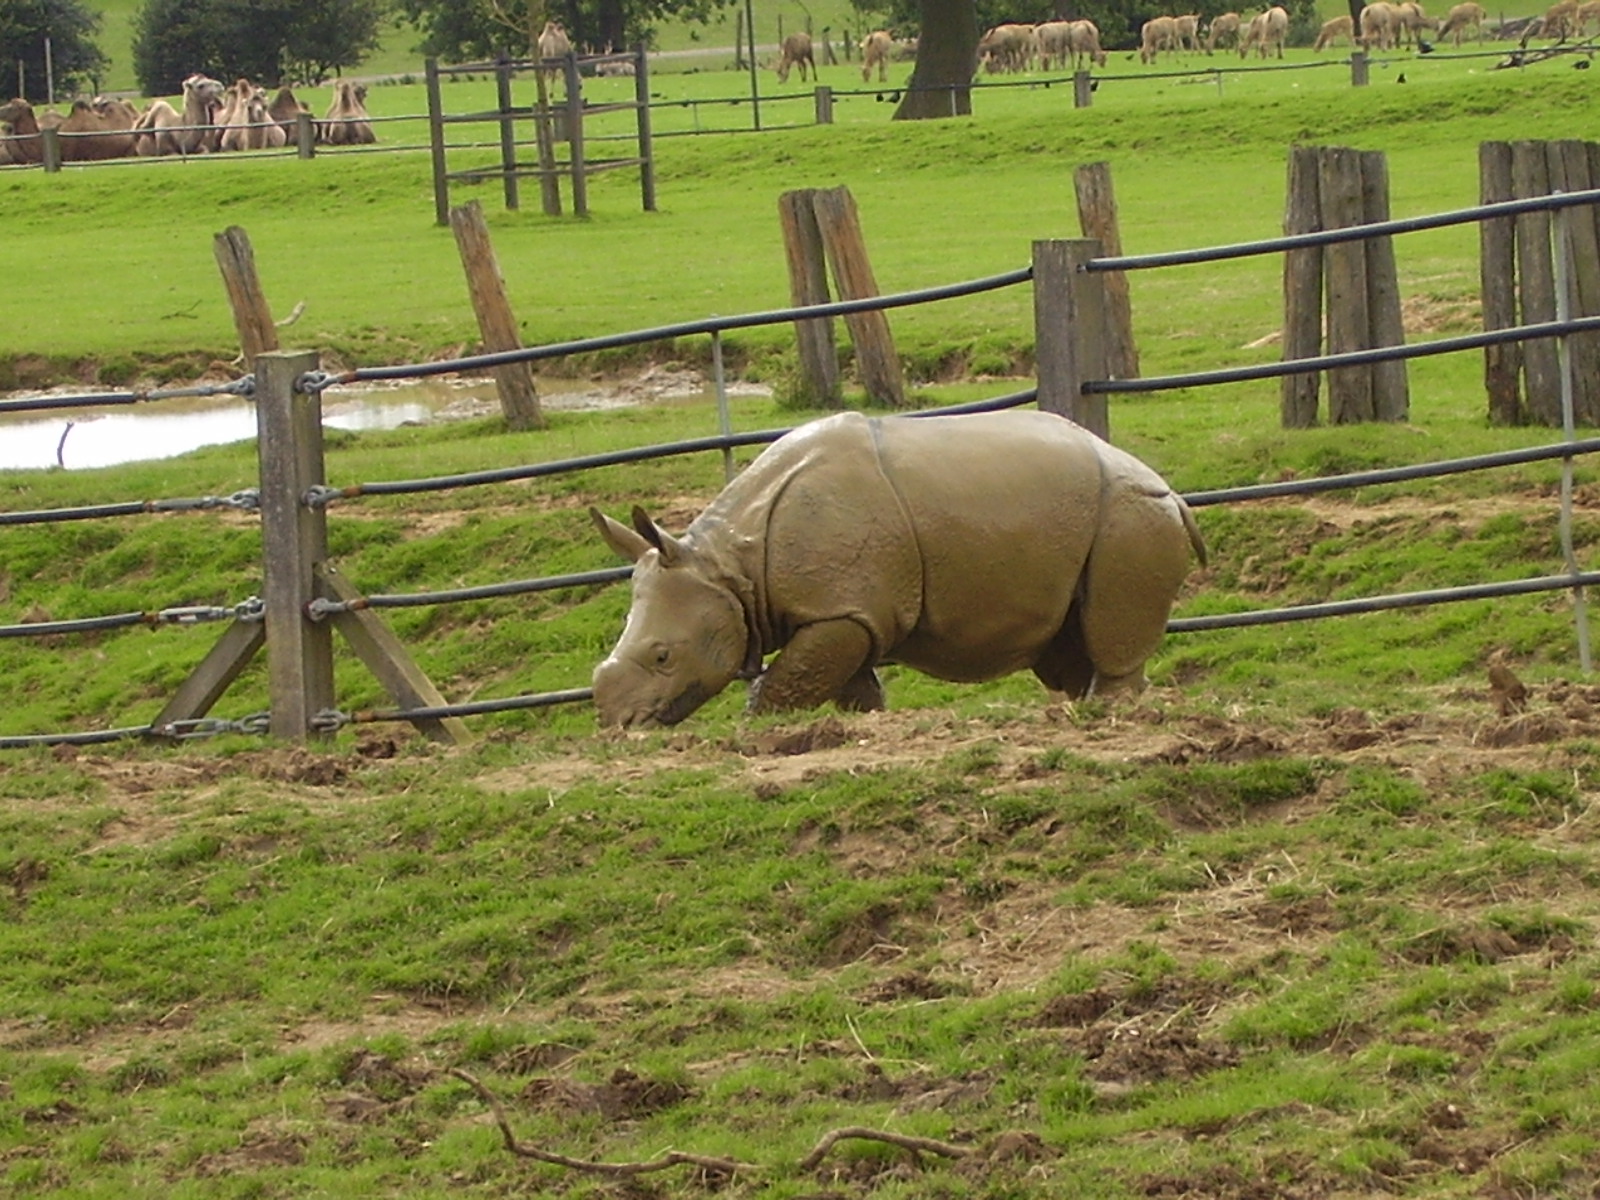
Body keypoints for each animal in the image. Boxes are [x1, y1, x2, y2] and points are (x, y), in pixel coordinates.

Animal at [590, 410, 1206, 728]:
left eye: (663, 656)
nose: (618, 726)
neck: (729, 567)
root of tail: (1171, 492)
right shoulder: (847, 611)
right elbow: (845, 684)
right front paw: (865, 724)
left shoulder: (840, 610)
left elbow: (783, 686)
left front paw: (755, 728)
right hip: (1100, 518)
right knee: (1069, 647)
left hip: (1131, 513)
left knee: (1110, 633)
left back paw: (1107, 712)